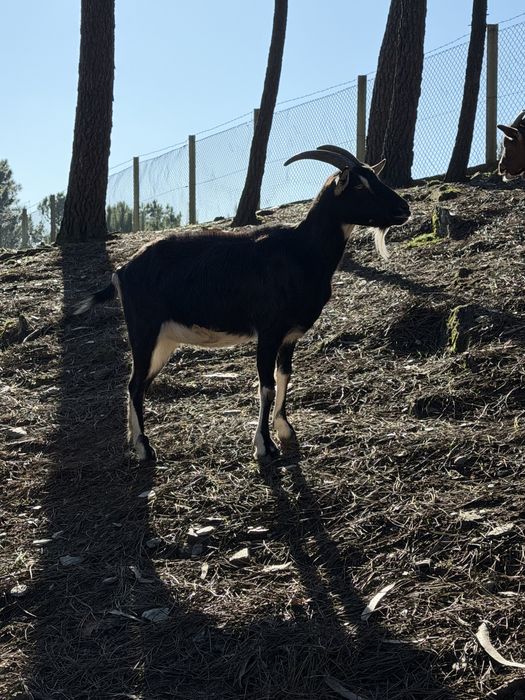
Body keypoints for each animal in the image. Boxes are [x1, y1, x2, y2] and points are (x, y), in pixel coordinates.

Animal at [76, 146, 410, 462]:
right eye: (360, 186)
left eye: (375, 177)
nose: (403, 208)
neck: (302, 251)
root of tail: (122, 271)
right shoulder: (269, 331)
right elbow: (266, 385)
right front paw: (264, 446)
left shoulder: (290, 336)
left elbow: (284, 375)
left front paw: (285, 430)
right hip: (144, 330)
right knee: (134, 384)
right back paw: (145, 449)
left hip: (165, 341)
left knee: (140, 383)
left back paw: (136, 442)